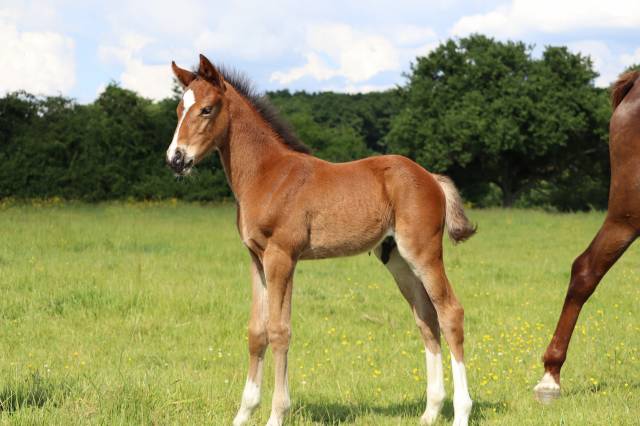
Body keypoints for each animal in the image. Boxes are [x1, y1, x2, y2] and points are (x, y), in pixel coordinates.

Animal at [166, 54, 477, 426]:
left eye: (207, 109)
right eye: (179, 109)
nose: (176, 159)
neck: (266, 175)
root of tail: (430, 176)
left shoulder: (282, 257)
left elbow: (279, 331)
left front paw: (276, 414)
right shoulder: (256, 259)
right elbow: (257, 332)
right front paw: (243, 414)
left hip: (424, 252)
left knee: (450, 313)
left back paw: (461, 412)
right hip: (398, 260)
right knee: (426, 318)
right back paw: (430, 412)